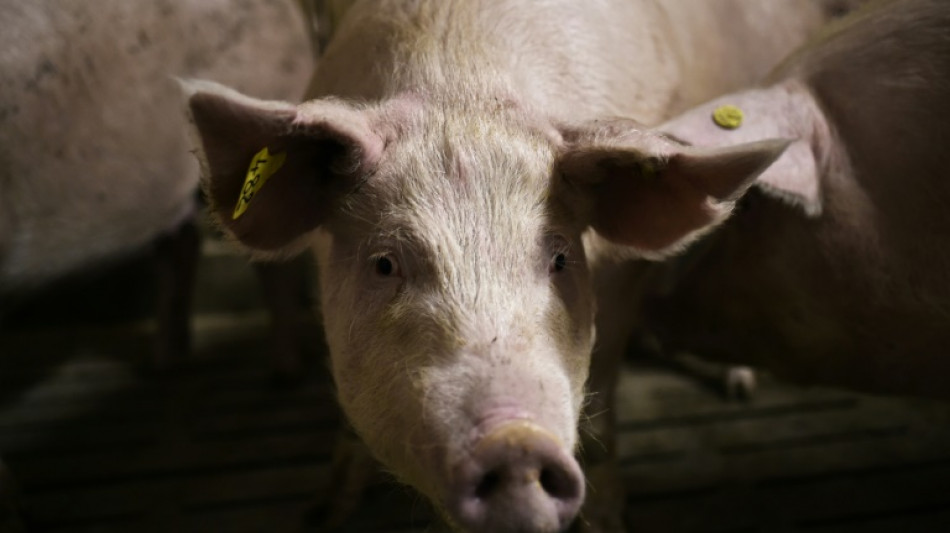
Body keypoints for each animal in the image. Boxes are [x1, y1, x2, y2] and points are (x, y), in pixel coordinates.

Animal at [184, 1, 844, 531]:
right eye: (384, 263)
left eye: (559, 258)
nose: (516, 444)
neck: (462, 87)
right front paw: (320, 516)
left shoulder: (619, 279)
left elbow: (604, 386)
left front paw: (610, 519)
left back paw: (738, 385)